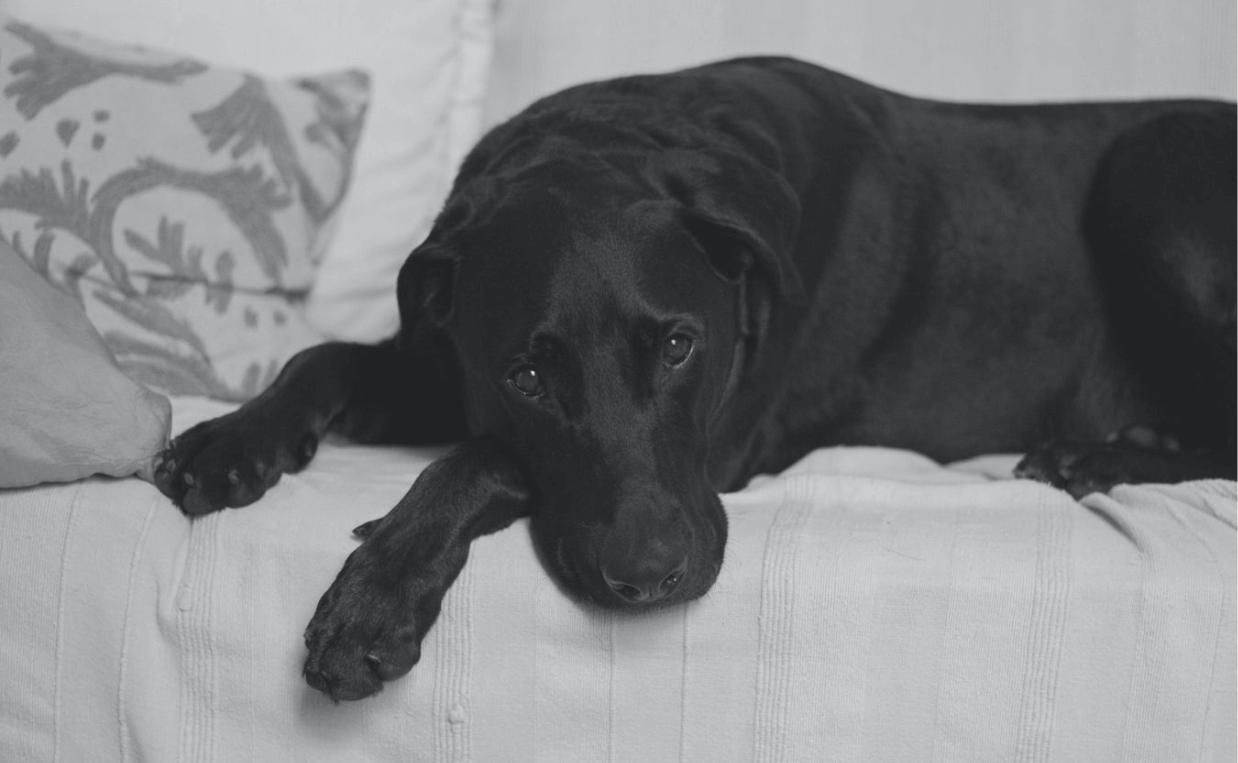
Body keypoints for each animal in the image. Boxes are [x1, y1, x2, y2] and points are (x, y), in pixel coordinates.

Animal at [152, 58, 1238, 703]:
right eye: (527, 374)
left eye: (679, 347)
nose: (647, 577)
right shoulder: (443, 360)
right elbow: (326, 358)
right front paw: (230, 439)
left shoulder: (721, 444)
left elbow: (484, 455)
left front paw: (375, 595)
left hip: (1149, 166)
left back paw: (1096, 455)